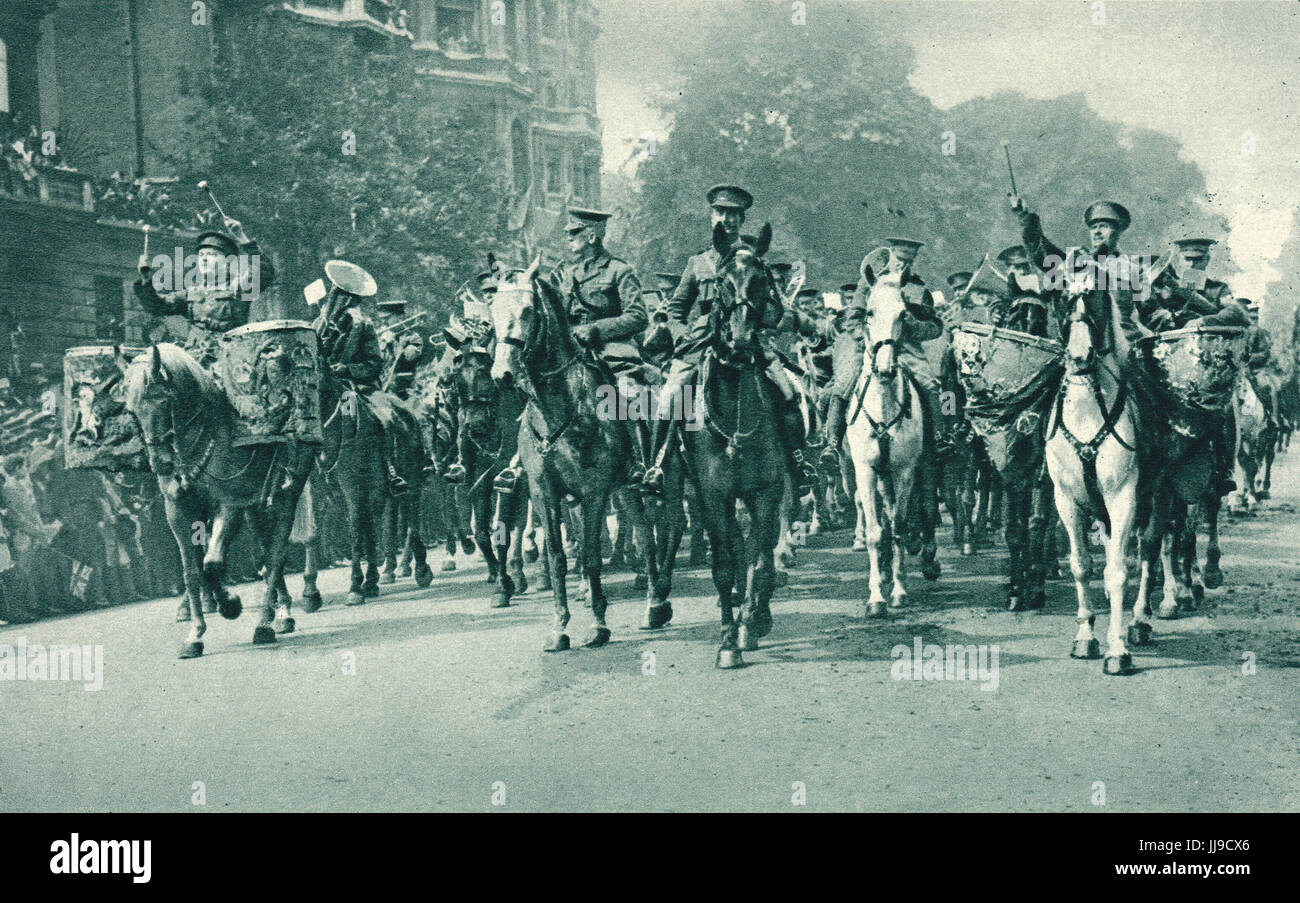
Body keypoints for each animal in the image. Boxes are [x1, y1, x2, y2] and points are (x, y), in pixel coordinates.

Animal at [123, 343, 312, 660]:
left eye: (163, 400)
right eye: (131, 409)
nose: (160, 463)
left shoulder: (229, 505)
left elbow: (212, 564)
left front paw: (230, 604)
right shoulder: (178, 511)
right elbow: (192, 571)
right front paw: (195, 634)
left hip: (286, 495)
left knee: (275, 557)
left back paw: (267, 623)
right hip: (256, 507)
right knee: (266, 553)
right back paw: (280, 612)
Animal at [1050, 294, 1144, 670]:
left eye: (1094, 296)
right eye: (1061, 297)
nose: (1080, 357)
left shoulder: (1123, 498)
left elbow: (1119, 571)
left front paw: (1117, 650)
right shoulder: (1066, 500)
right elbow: (1081, 566)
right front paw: (1085, 636)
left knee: (1152, 554)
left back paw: (1140, 620)